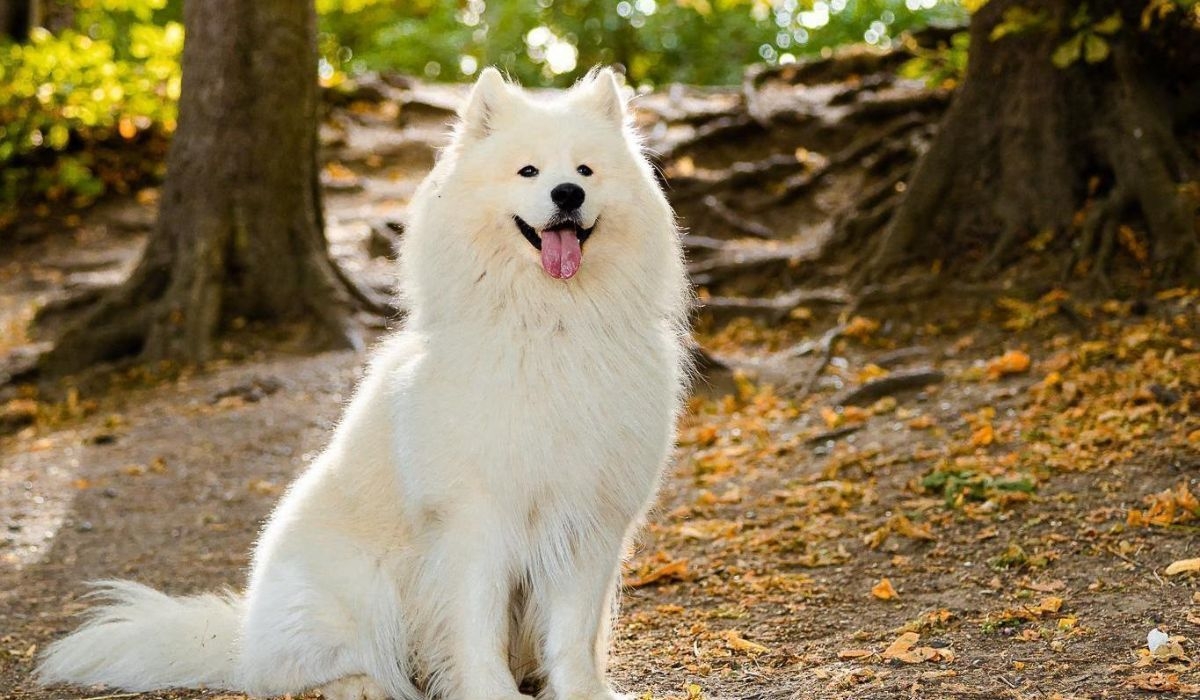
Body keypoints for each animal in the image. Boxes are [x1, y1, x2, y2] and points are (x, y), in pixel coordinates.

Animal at [37, 67, 691, 700]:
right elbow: (475, 630)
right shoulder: (475, 520)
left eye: (585, 170)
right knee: (300, 672)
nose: (567, 194)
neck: (552, 324)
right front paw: (491, 693)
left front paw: (583, 693)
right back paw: (365, 685)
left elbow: (573, 637)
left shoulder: (590, 520)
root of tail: (242, 637)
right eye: (528, 170)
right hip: (359, 586)